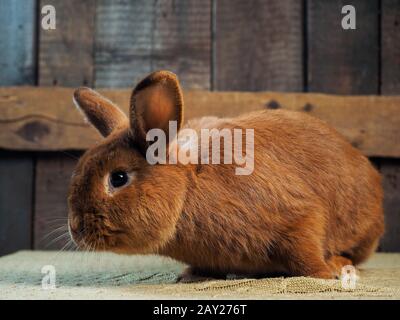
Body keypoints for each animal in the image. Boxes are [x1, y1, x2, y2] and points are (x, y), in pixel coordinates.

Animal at [69, 70, 384, 280]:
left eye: (118, 178)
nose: (75, 228)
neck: (188, 186)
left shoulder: (299, 217)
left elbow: (305, 252)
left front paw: (326, 274)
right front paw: (191, 275)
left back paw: (341, 264)